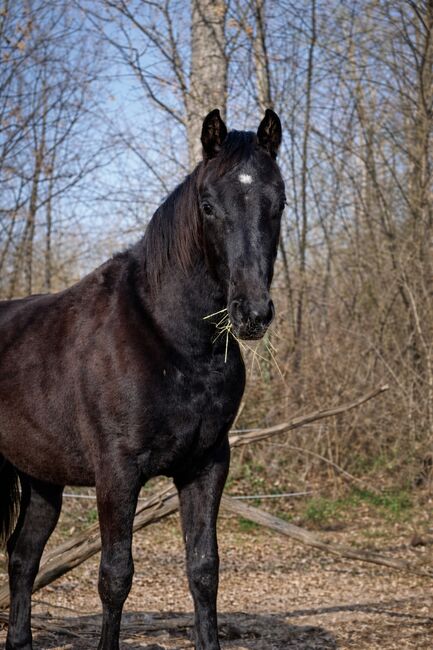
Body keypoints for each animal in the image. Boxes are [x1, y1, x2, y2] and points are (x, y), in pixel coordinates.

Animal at [0, 108, 285, 650]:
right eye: (208, 206)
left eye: (278, 203)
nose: (252, 313)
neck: (172, 339)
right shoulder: (118, 471)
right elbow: (115, 576)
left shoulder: (206, 465)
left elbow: (204, 570)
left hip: (41, 479)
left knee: (23, 557)